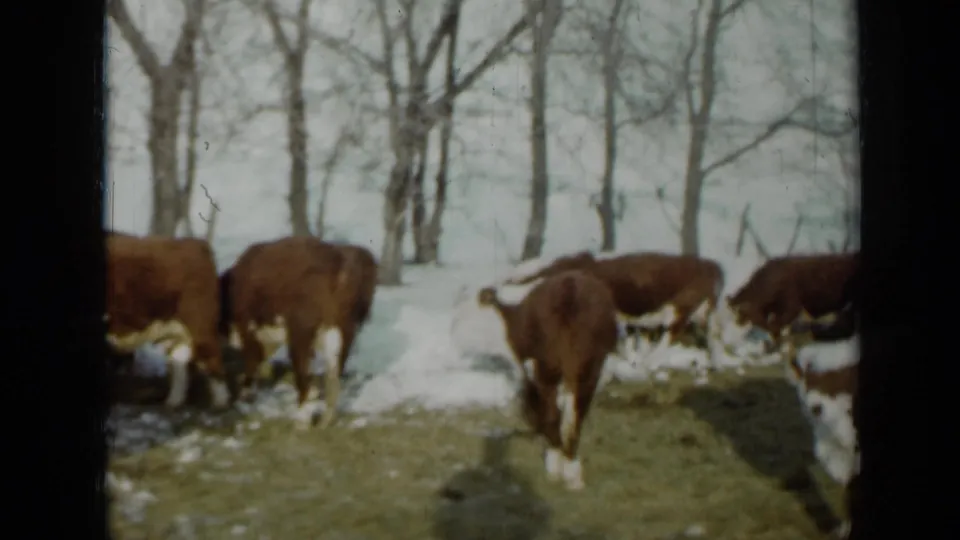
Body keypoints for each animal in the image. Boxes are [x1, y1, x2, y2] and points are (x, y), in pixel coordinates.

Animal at [105, 232, 229, 409]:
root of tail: (196, 243)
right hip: (175, 330)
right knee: (179, 363)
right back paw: (173, 401)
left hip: (200, 324)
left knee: (212, 358)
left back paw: (220, 402)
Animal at [219, 237, 377, 429]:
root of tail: (341, 259)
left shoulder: (248, 328)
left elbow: (252, 361)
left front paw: (244, 396)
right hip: (342, 331)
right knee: (334, 375)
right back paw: (326, 420)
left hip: (301, 332)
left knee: (304, 374)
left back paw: (301, 420)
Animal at [470, 270, 620, 490]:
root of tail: (570, 291)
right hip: (589, 367)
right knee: (575, 416)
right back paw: (572, 471)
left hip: (548, 365)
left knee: (554, 412)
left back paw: (556, 465)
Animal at [503, 251, 727, 374]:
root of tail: (710, 265)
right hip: (702, 311)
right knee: (712, 334)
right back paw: (715, 364)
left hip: (681, 307)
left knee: (672, 334)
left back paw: (651, 362)